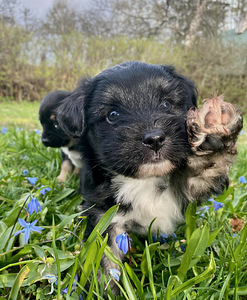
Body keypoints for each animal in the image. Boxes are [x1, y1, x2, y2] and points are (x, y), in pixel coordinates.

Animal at [55, 61, 242, 292]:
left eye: (165, 104)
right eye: (113, 115)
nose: (154, 139)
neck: (144, 180)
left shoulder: (191, 184)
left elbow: (210, 165)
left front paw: (214, 123)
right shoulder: (105, 216)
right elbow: (105, 262)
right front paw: (104, 290)